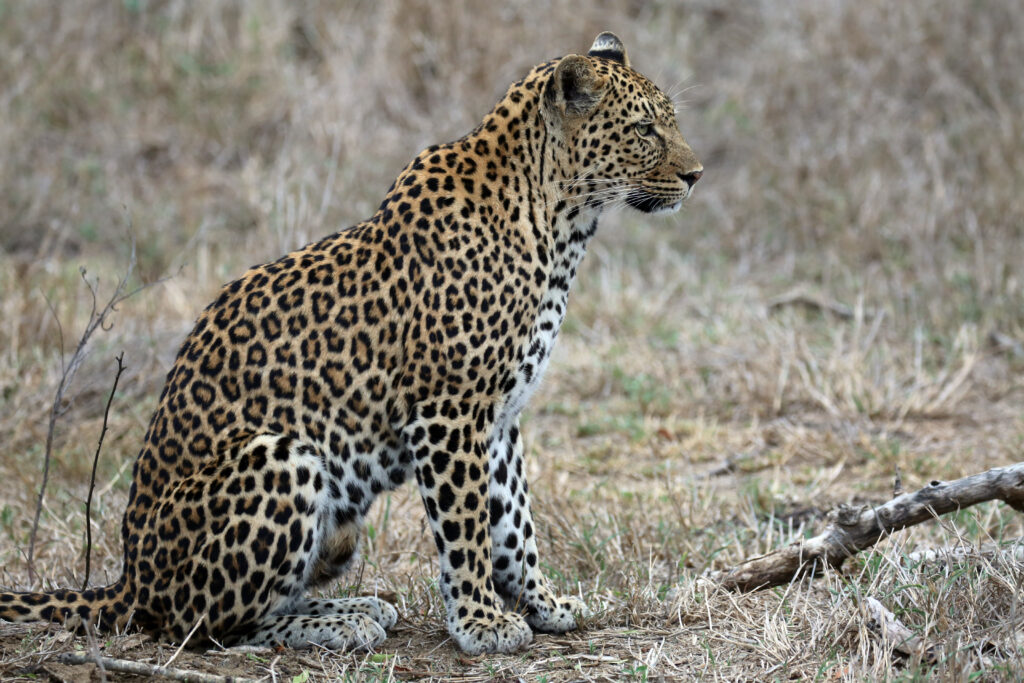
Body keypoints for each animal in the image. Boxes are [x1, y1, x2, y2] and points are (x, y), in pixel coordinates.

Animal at [0, 32, 702, 655]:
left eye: (671, 122)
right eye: (645, 131)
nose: (696, 175)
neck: (560, 224)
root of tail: (129, 577)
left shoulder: (500, 417)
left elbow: (514, 520)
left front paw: (543, 603)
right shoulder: (449, 411)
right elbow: (468, 526)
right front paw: (481, 623)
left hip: (335, 527)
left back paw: (357, 605)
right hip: (282, 456)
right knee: (207, 624)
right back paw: (340, 624)